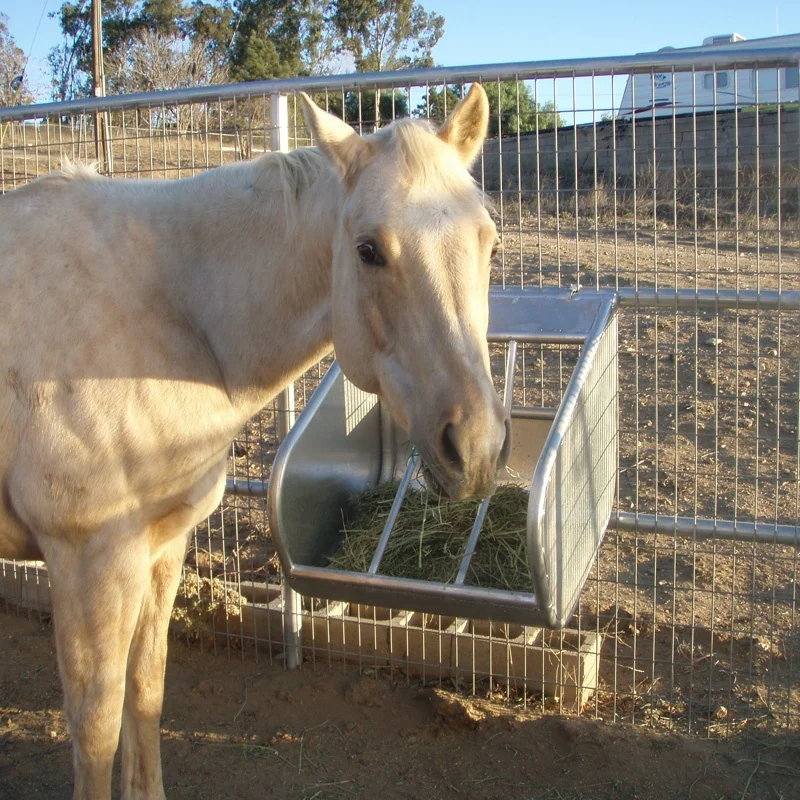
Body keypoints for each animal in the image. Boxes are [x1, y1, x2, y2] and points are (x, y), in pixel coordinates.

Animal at [0, 84, 510, 799]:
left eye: (488, 241)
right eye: (368, 250)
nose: (477, 446)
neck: (172, 312)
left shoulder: (162, 546)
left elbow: (145, 693)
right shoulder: (86, 560)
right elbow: (95, 732)